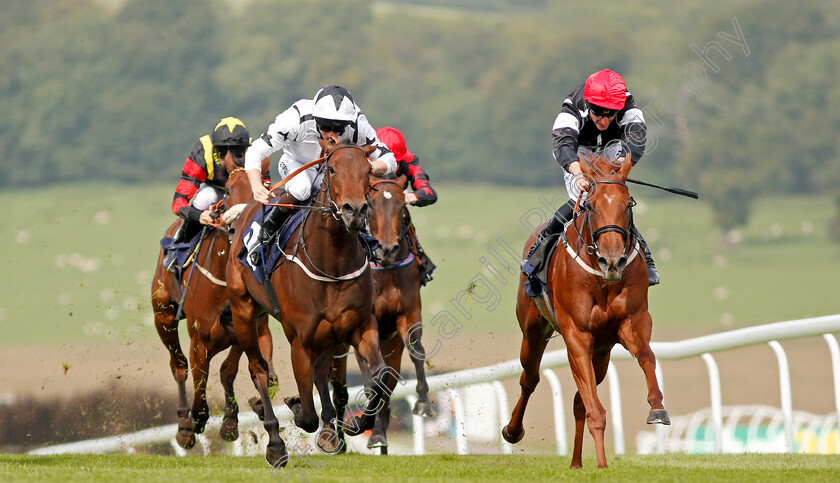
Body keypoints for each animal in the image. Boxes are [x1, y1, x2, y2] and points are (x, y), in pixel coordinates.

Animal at [151, 158, 276, 450]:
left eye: (264, 187)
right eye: (228, 190)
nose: (240, 225)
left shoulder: (250, 329)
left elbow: (235, 370)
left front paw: (234, 419)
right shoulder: (200, 342)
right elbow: (200, 397)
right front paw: (193, 422)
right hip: (163, 316)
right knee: (178, 366)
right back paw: (184, 425)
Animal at [225, 138, 392, 466]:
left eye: (368, 170)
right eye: (331, 168)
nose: (355, 211)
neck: (331, 262)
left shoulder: (360, 325)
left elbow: (378, 376)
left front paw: (355, 424)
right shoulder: (300, 341)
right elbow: (307, 415)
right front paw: (296, 407)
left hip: (327, 335)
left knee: (320, 371)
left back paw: (329, 432)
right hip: (244, 312)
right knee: (259, 369)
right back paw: (275, 443)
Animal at [502, 154, 672, 468]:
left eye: (627, 204)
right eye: (591, 205)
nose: (613, 260)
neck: (602, 280)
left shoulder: (632, 322)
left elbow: (647, 357)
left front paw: (657, 408)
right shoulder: (577, 336)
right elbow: (595, 409)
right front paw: (602, 464)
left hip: (601, 354)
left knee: (578, 402)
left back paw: (576, 462)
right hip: (533, 331)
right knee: (529, 378)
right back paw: (512, 430)